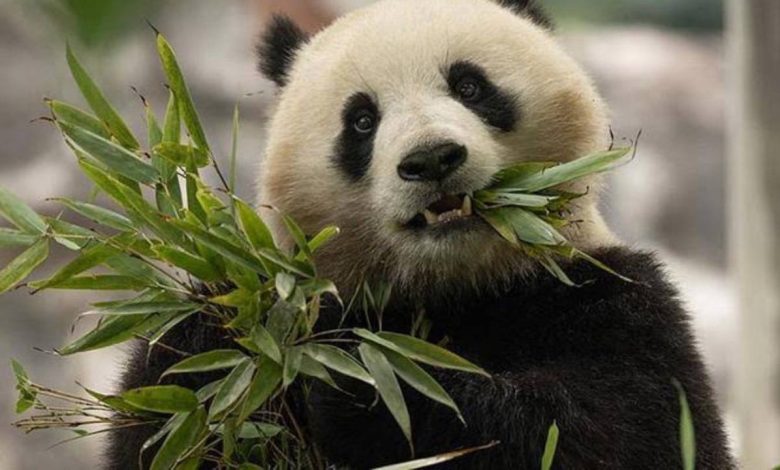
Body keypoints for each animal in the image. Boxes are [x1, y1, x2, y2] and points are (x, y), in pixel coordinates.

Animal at [106, 0, 735, 468]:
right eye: (361, 120)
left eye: (470, 86)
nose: (431, 159)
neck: (453, 286)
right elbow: (171, 411)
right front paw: (219, 340)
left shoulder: (611, 298)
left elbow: (618, 431)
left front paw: (365, 387)